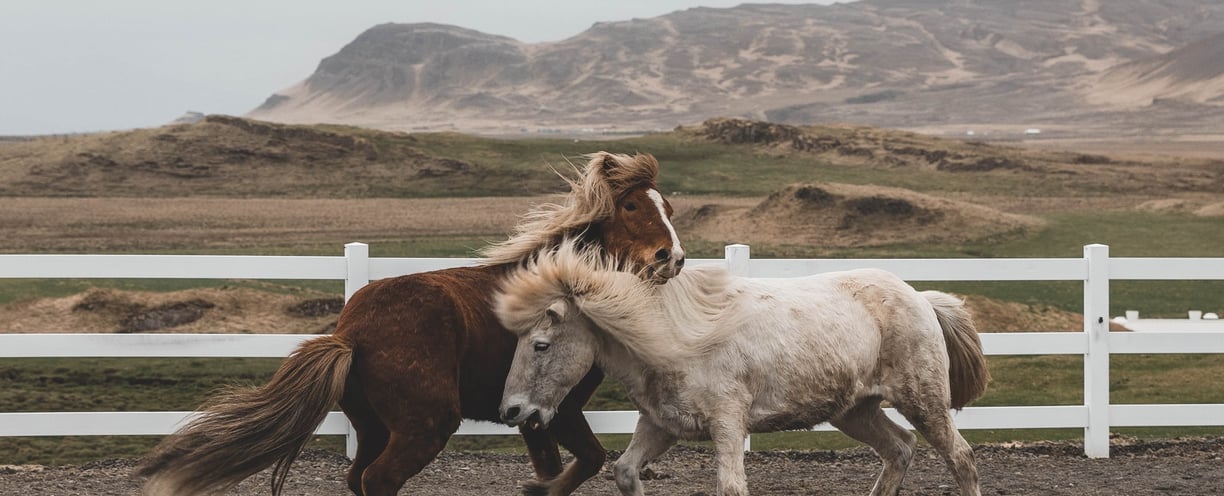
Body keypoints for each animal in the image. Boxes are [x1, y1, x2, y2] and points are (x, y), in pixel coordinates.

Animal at [138, 152, 688, 496]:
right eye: (631, 205)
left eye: (669, 208)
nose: (673, 258)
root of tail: (349, 334)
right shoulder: (560, 408)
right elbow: (587, 461)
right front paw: (539, 486)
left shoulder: (532, 415)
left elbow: (560, 467)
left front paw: (537, 484)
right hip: (426, 424)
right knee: (378, 480)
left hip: (375, 427)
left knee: (357, 478)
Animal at [495, 241, 990, 496]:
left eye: (540, 345)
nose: (512, 412)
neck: (676, 338)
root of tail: (920, 298)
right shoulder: (662, 425)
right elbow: (625, 471)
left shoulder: (729, 424)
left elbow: (731, 487)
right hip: (855, 410)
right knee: (899, 450)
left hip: (923, 400)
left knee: (960, 457)